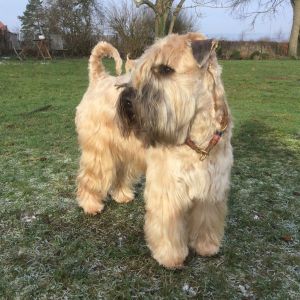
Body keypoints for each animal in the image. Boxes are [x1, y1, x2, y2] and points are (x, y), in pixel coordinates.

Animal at [76, 34, 233, 268]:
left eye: (165, 69)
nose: (127, 99)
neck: (198, 132)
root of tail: (98, 79)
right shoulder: (168, 188)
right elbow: (168, 226)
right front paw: (170, 257)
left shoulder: (211, 186)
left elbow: (206, 219)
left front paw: (206, 246)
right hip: (100, 153)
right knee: (90, 178)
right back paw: (91, 205)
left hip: (126, 152)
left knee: (120, 175)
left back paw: (122, 196)